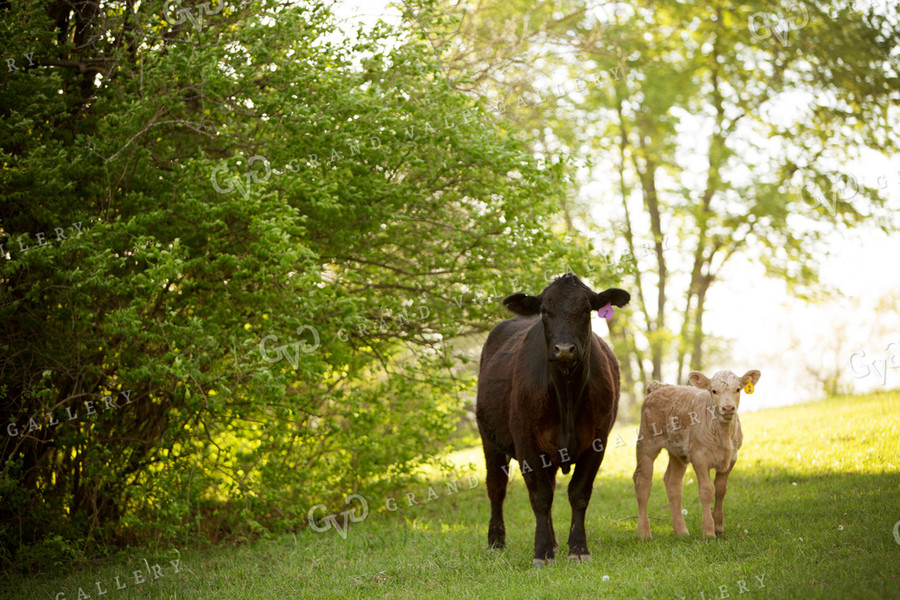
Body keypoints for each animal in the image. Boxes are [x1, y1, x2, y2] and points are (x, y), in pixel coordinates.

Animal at [474, 274, 628, 564]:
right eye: (545, 311)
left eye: (586, 309)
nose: (564, 349)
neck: (566, 392)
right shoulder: (525, 440)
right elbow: (540, 496)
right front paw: (542, 551)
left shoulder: (598, 439)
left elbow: (578, 493)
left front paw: (577, 548)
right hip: (489, 439)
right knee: (496, 488)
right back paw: (496, 541)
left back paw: (555, 541)